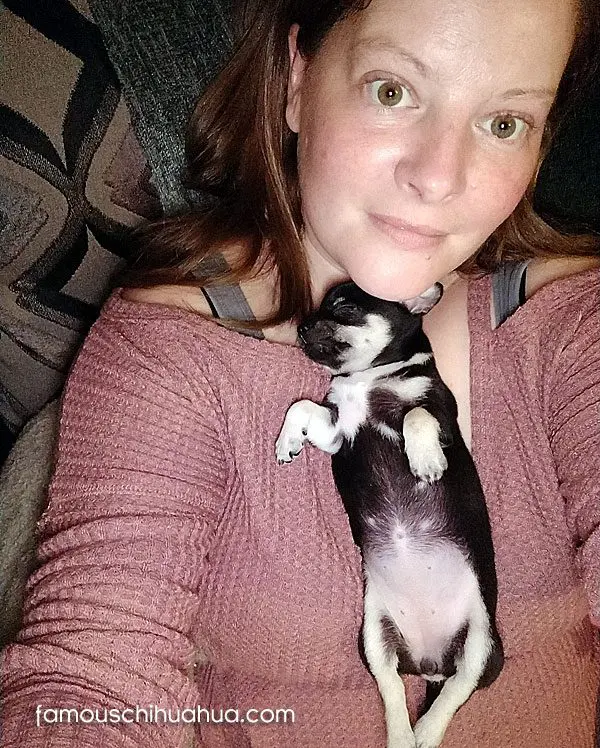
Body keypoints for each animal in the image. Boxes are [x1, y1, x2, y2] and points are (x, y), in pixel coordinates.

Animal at [275, 281, 503, 748]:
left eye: (344, 307)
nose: (301, 326)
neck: (368, 379)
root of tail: (430, 663)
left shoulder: (442, 419)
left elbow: (416, 415)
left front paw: (426, 461)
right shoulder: (337, 431)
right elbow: (303, 408)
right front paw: (287, 441)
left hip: (482, 644)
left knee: (458, 689)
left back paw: (427, 731)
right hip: (373, 638)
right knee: (393, 686)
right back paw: (402, 734)